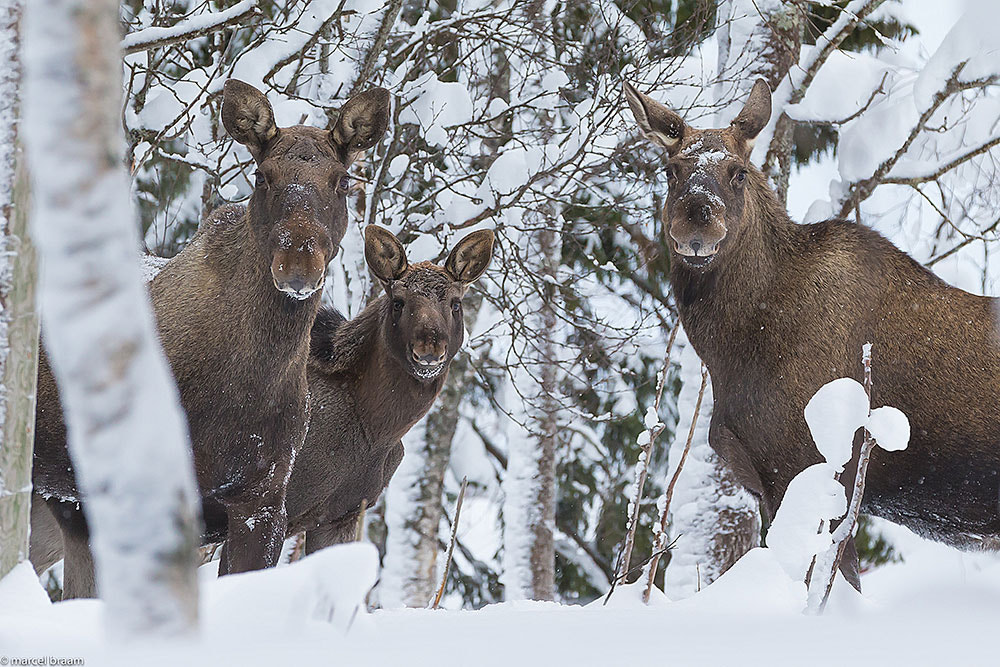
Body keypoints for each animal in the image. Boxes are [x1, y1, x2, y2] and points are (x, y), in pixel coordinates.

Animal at [624, 78, 1000, 589]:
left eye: (738, 172)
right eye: (670, 170)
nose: (697, 220)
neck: (731, 353)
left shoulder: (812, 467)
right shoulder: (765, 480)